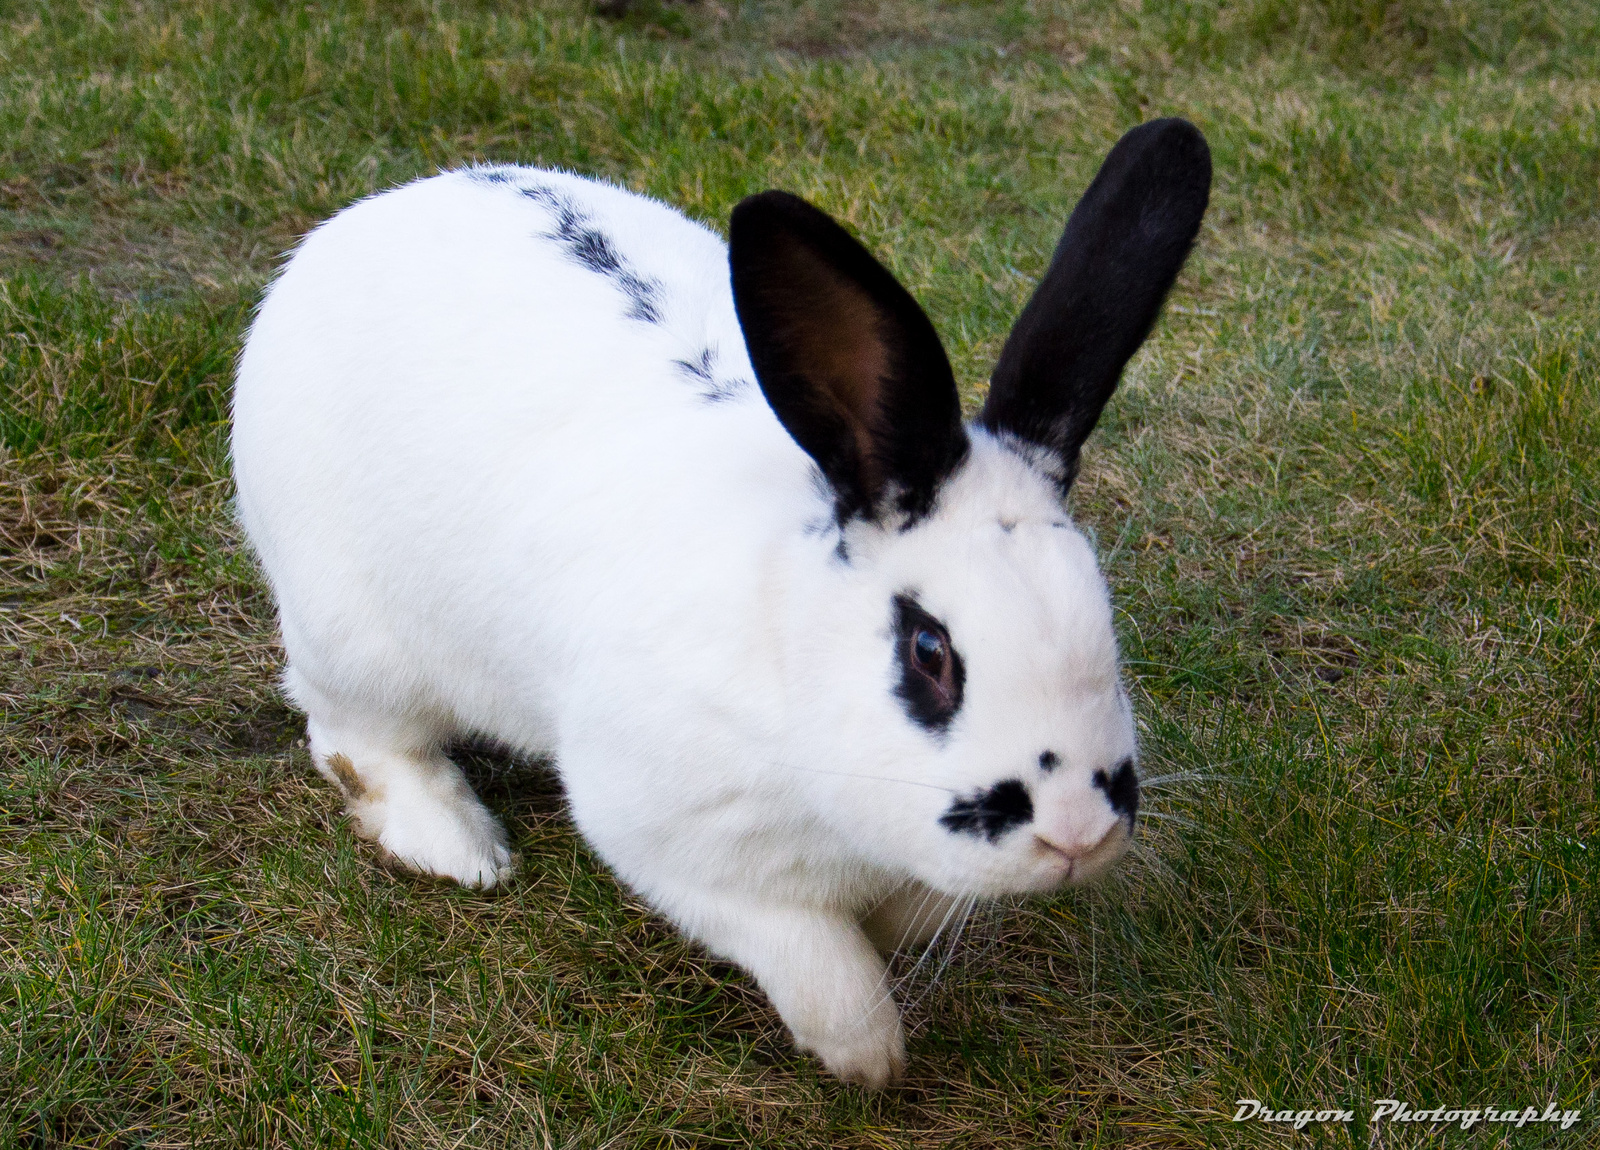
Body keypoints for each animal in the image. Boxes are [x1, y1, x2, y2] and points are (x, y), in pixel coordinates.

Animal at [232, 116, 1209, 1087]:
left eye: (1100, 615)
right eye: (929, 651)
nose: (1079, 831)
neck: (787, 639)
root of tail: (374, 216)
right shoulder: (676, 843)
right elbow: (820, 964)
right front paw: (865, 1062)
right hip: (354, 639)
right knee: (358, 739)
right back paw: (460, 846)